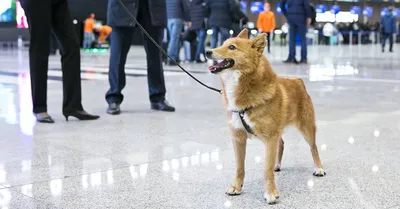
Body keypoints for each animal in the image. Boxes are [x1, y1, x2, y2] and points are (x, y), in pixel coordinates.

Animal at [206, 29, 324, 204]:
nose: (207, 52)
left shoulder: (269, 138)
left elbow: (266, 170)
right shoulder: (238, 138)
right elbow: (239, 167)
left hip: (306, 128)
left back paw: (319, 168)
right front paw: (236, 187)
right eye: (222, 43)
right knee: (281, 144)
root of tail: (298, 80)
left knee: (313, 148)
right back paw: (277, 165)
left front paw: (270, 193)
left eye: (232, 47)